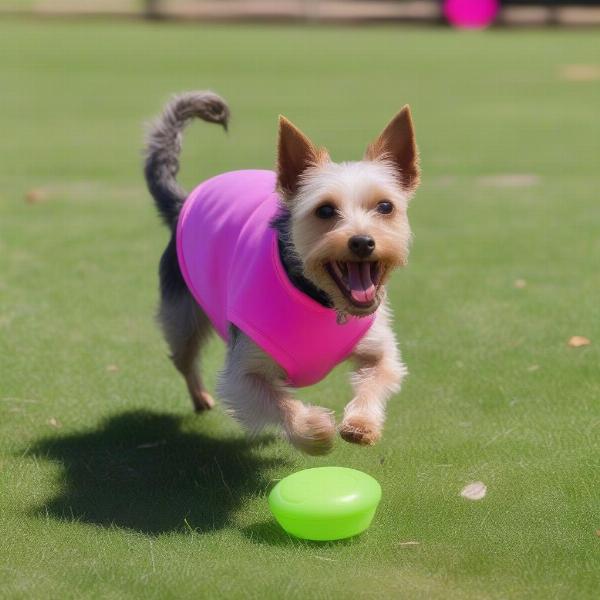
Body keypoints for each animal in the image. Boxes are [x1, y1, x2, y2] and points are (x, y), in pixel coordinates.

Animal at [143, 90, 420, 454]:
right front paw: (315, 430)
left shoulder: (379, 348)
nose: (362, 242)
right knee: (184, 357)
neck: (320, 297)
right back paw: (200, 397)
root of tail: (181, 204)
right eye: (325, 210)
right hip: (182, 313)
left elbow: (379, 375)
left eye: (385, 206)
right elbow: (278, 401)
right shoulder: (243, 374)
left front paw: (361, 423)